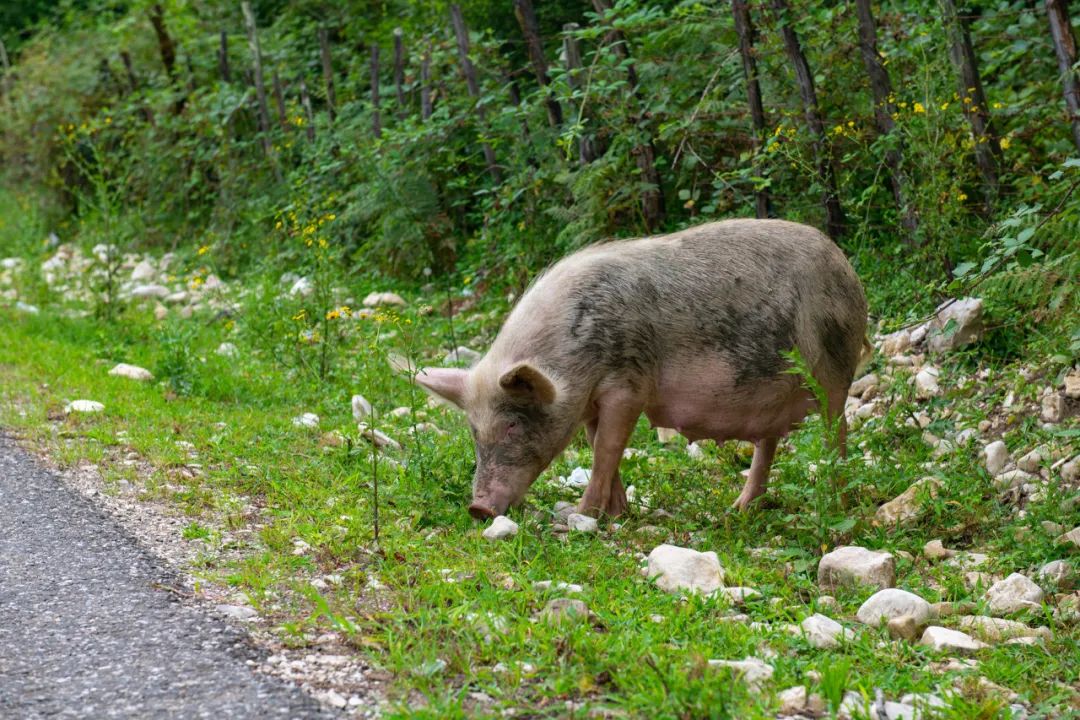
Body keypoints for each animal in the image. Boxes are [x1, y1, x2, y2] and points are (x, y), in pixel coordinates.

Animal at [412, 220, 868, 518]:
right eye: (474, 431)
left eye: (511, 424)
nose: (478, 507)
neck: (571, 363)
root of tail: (845, 264)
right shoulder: (591, 403)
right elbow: (599, 447)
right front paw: (618, 514)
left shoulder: (627, 385)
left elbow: (607, 448)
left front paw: (582, 516)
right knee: (767, 445)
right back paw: (737, 511)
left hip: (832, 367)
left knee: (838, 428)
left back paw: (836, 501)